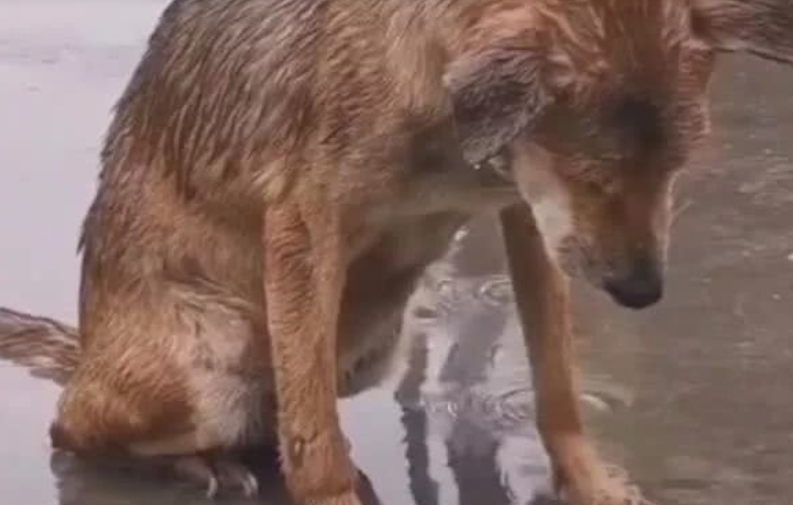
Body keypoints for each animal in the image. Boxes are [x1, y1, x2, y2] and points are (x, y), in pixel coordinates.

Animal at [1, 0, 792, 504]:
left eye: (677, 169)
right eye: (594, 177)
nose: (642, 293)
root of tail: (89, 351)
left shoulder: (527, 220)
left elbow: (558, 383)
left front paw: (588, 481)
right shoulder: (303, 223)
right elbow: (315, 439)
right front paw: (329, 490)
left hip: (373, 345)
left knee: (276, 418)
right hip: (211, 356)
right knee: (76, 427)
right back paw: (202, 466)